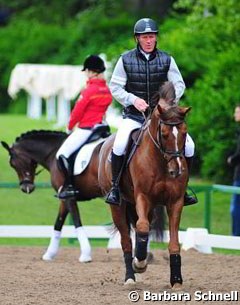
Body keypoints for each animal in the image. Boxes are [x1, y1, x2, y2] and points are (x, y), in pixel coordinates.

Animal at [98, 86, 190, 286]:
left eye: (185, 133)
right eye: (164, 134)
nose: (177, 170)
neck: (161, 162)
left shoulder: (175, 201)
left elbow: (173, 242)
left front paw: (176, 280)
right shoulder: (143, 197)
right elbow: (141, 228)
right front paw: (139, 263)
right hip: (119, 206)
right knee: (126, 240)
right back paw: (130, 276)